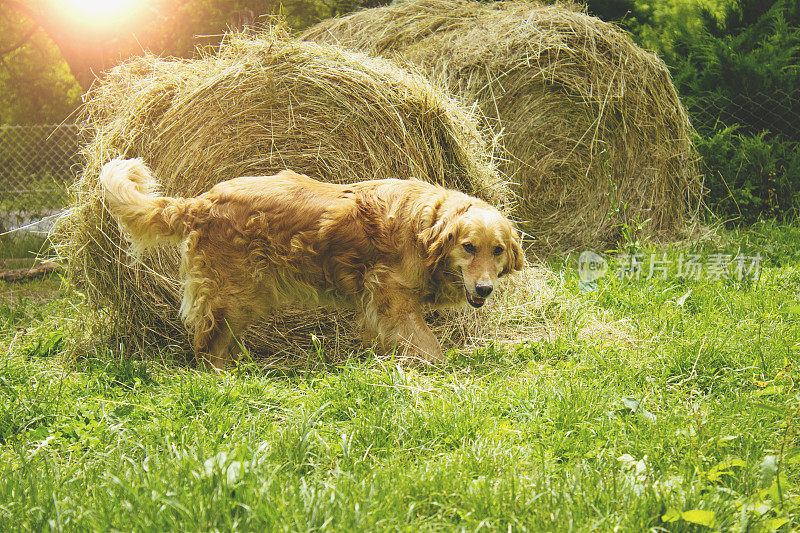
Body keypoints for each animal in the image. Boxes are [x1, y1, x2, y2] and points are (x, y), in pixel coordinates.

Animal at [100, 156, 524, 368]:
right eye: (468, 247)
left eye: (497, 250)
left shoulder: (377, 303)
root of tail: (200, 201)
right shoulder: (389, 290)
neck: (424, 230)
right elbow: (426, 344)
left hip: (241, 300)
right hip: (230, 296)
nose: (485, 288)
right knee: (207, 347)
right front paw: (436, 370)